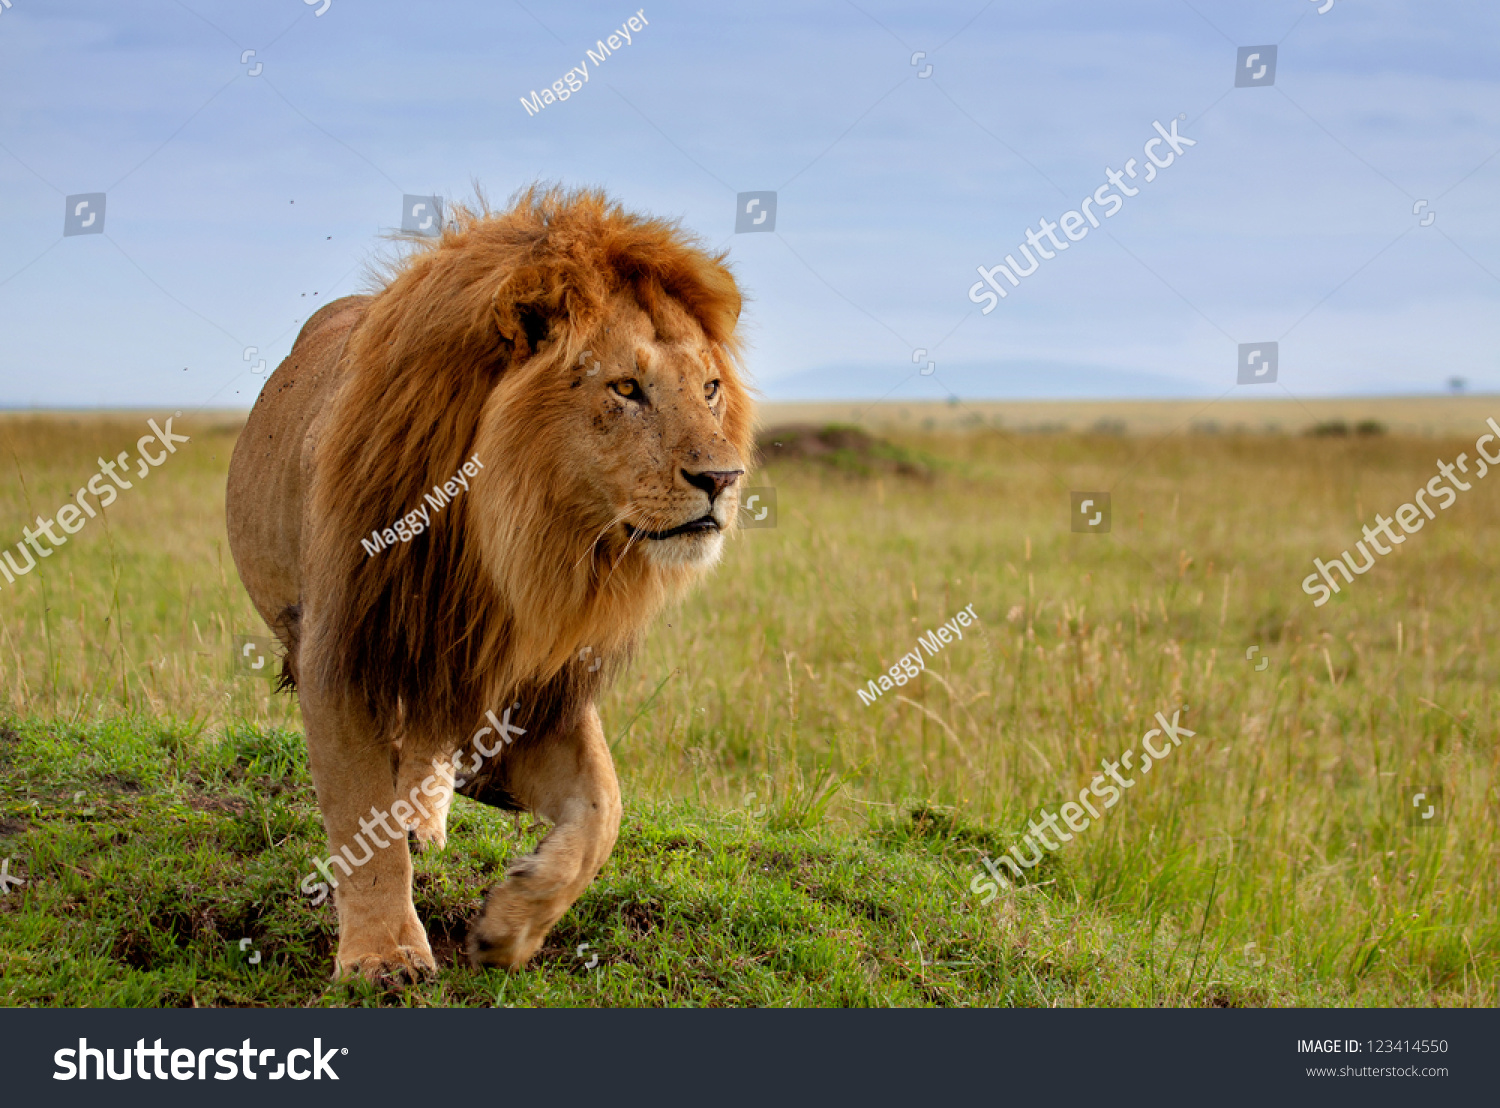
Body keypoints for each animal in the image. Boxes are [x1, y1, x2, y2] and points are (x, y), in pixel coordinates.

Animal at [223, 188, 756, 977]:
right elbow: (361, 822)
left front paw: (512, 923)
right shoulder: (344, 653)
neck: (514, 545)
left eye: (712, 389)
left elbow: (604, 808)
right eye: (626, 388)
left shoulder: (542, 682)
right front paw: (384, 957)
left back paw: (428, 817)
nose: (722, 479)